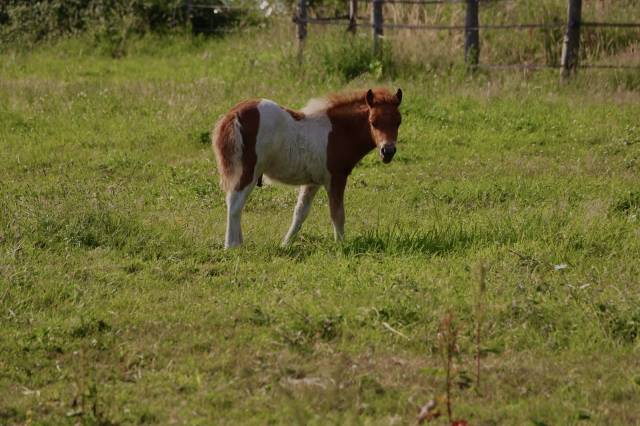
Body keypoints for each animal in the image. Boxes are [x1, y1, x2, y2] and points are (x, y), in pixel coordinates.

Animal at [212, 87, 403, 249]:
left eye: (398, 122)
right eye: (373, 122)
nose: (388, 151)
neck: (338, 132)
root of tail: (234, 114)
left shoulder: (313, 182)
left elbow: (300, 212)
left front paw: (285, 244)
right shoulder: (336, 177)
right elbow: (337, 214)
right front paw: (341, 245)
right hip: (249, 170)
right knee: (235, 202)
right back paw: (232, 246)